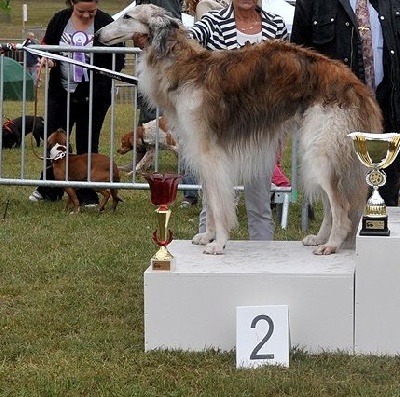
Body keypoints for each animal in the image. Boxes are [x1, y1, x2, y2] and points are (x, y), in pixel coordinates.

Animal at [96, 4, 382, 255]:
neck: (185, 69)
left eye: (128, 16)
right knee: (331, 206)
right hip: (316, 154)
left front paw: (219, 243)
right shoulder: (201, 154)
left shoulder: (210, 154)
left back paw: (331, 244)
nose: (97, 34)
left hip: (320, 151)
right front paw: (207, 236)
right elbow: (211, 202)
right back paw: (320, 238)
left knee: (341, 206)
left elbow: (219, 204)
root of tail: (354, 84)